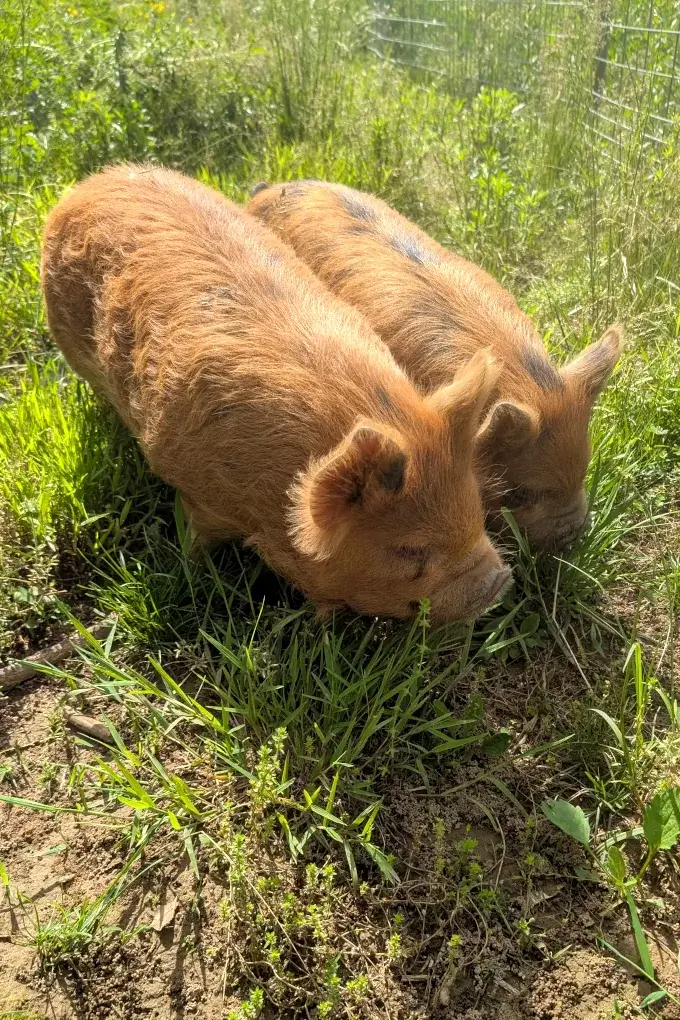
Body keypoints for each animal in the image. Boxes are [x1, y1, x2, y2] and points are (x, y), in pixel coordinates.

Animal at [41, 165, 511, 621]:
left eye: (476, 511)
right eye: (409, 549)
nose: (499, 581)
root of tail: (91, 183)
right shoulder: (193, 488)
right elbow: (196, 540)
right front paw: (194, 572)